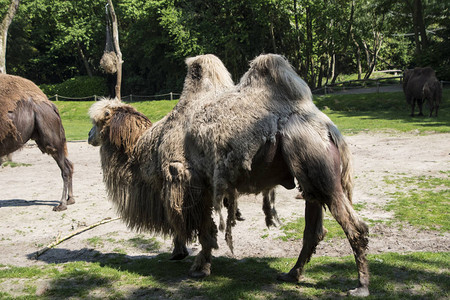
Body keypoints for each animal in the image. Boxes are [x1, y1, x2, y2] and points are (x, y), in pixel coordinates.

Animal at [0, 73, 74, 211]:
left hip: (49, 135)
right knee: (69, 163)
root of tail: (51, 105)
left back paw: (62, 204)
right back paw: (70, 199)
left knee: (65, 168)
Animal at [88, 53, 370, 296]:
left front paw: (199, 267)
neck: (147, 147)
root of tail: (329, 129)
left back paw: (360, 286)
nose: (89, 136)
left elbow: (200, 227)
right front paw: (183, 254)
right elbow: (194, 225)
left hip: (317, 166)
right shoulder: (195, 186)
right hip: (307, 175)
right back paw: (291, 274)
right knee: (313, 229)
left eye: (98, 121)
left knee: (354, 226)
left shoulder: (186, 180)